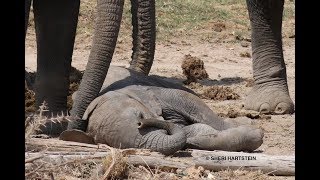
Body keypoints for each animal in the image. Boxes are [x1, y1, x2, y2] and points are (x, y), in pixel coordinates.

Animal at [59, 65, 262, 155]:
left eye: (139, 117)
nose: (142, 122)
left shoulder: (160, 94)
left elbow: (192, 105)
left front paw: (252, 130)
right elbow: (192, 130)